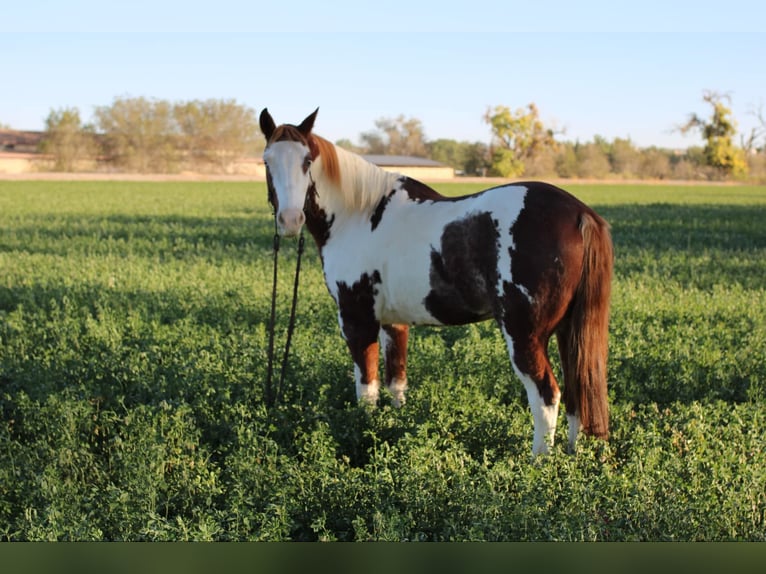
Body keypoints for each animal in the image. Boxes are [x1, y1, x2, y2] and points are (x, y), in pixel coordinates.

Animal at [259, 108, 613, 456]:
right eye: (267, 160)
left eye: (307, 161)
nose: (290, 221)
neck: (358, 215)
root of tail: (579, 213)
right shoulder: (393, 322)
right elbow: (396, 381)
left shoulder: (357, 320)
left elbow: (367, 389)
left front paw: (363, 431)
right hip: (568, 333)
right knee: (576, 394)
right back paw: (571, 456)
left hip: (524, 334)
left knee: (546, 395)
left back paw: (538, 462)